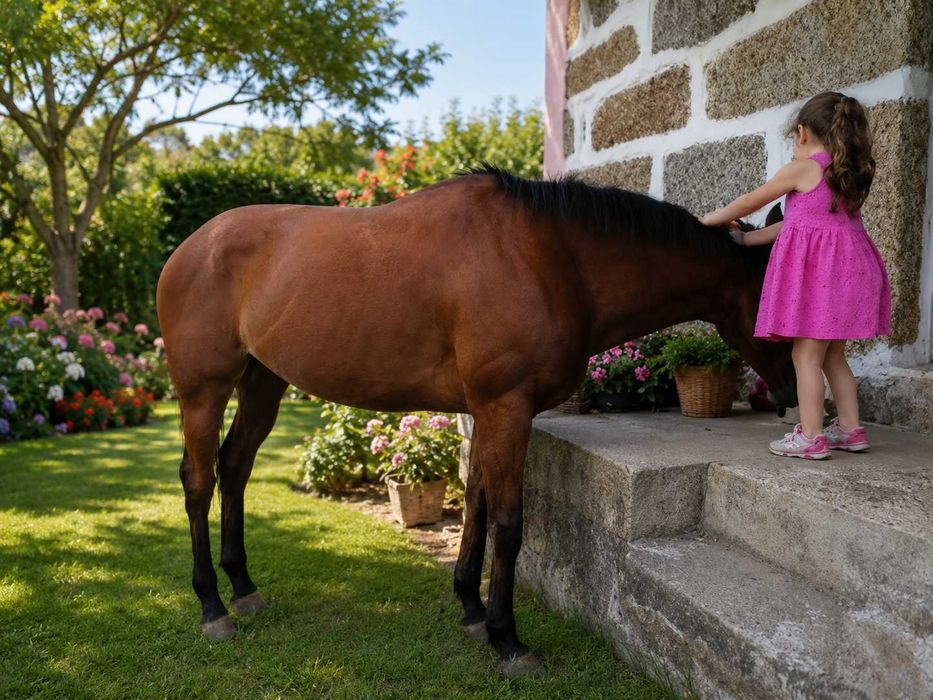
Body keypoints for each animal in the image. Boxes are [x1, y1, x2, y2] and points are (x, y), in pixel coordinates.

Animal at [156, 165, 796, 677]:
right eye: (782, 295)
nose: (788, 392)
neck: (548, 256)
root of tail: (190, 247)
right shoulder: (506, 408)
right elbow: (508, 525)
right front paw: (507, 640)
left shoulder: (491, 413)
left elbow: (478, 506)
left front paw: (470, 608)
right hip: (203, 391)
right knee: (199, 481)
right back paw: (212, 606)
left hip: (263, 383)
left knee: (235, 468)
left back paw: (244, 587)